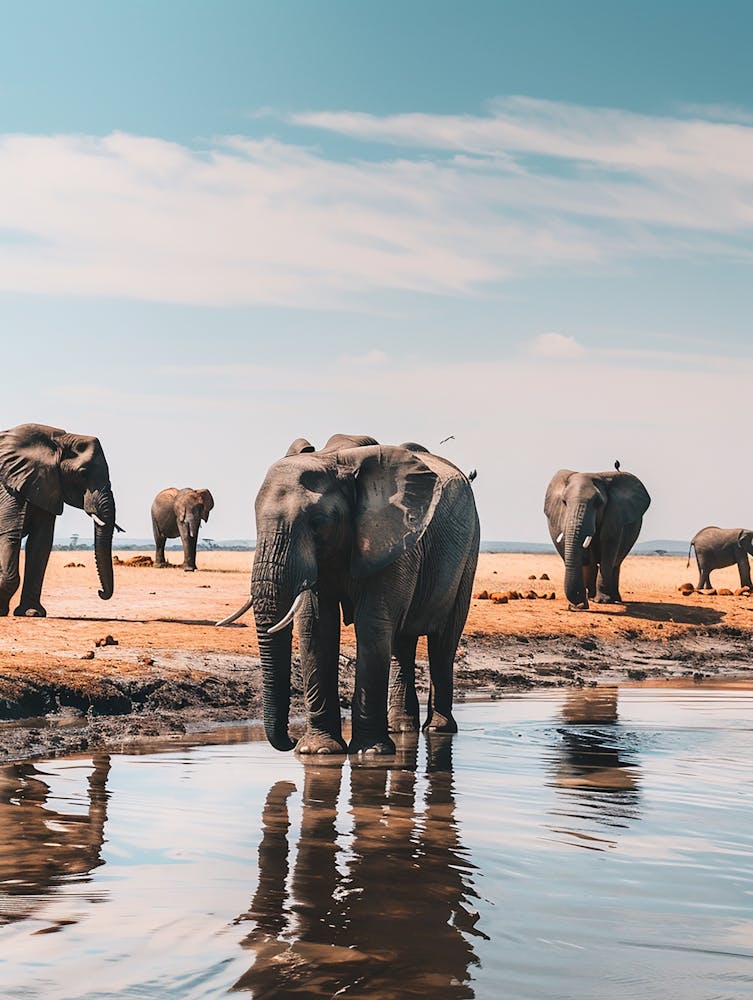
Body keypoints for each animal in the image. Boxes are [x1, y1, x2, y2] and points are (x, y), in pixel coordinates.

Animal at [0, 423, 117, 617]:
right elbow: (10, 534)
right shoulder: (9, 488)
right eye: (83, 473)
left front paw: (32, 613)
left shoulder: (46, 485)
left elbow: (40, 543)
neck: (57, 441)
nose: (100, 592)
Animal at [218, 433, 480, 756]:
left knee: (443, 642)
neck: (334, 459)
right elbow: (316, 627)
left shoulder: (391, 538)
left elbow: (371, 625)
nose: (290, 741)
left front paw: (370, 753)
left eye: (317, 523)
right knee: (402, 643)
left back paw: (438, 730)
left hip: (469, 551)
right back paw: (401, 728)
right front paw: (317, 750)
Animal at [544, 467, 650, 610]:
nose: (578, 605)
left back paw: (614, 599)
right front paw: (586, 601)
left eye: (598, 503)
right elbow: (588, 559)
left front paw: (602, 601)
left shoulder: (615, 515)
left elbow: (608, 549)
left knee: (616, 563)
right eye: (564, 502)